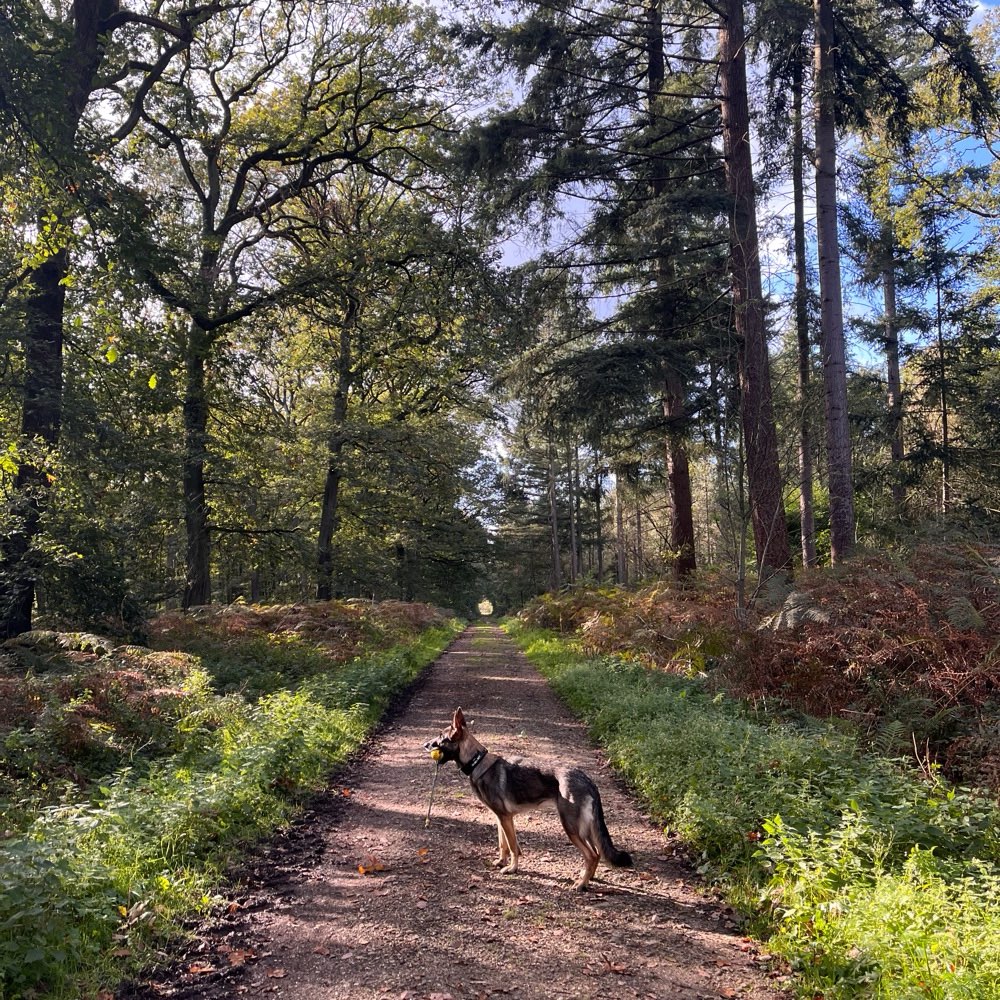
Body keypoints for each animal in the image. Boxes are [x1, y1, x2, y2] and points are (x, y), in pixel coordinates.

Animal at [422, 704, 632, 892]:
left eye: (440, 737)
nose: (425, 745)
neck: (477, 762)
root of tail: (586, 779)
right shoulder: (501, 818)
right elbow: (503, 844)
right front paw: (501, 862)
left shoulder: (505, 818)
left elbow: (513, 846)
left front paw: (512, 868)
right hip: (584, 829)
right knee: (595, 853)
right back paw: (587, 878)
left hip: (571, 828)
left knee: (592, 855)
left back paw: (581, 884)